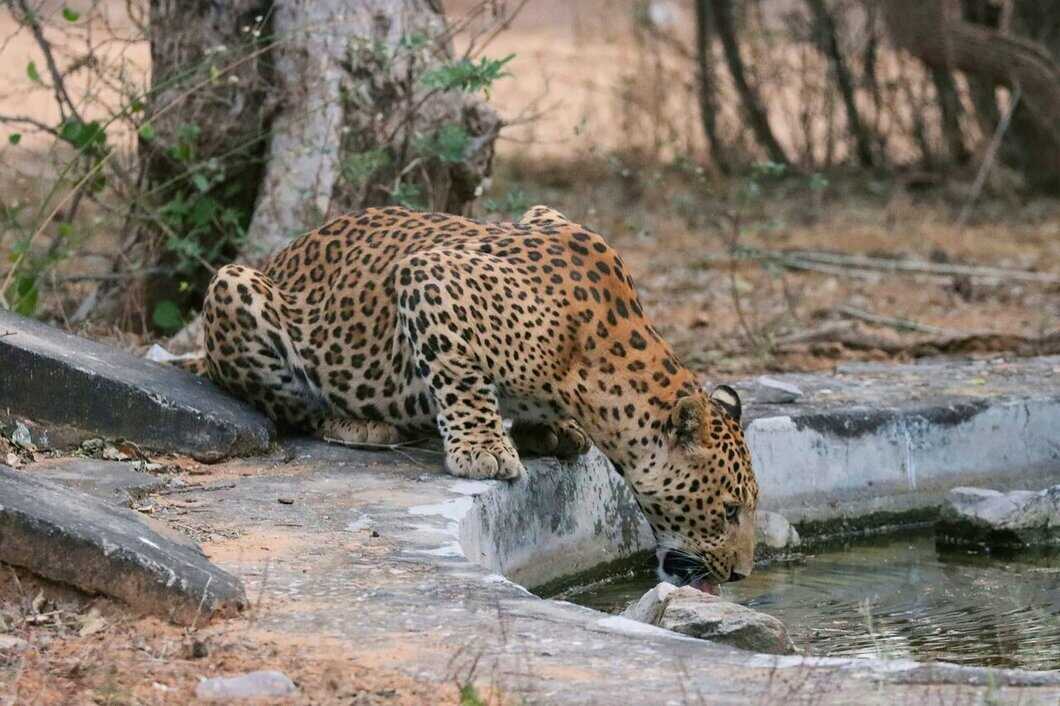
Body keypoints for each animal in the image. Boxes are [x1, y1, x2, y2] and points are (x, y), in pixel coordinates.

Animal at [195, 204, 758, 593]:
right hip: (234, 285)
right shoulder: (430, 276)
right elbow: (460, 376)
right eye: (729, 510)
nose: (741, 574)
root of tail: (278, 255)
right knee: (286, 403)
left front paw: (549, 431)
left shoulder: (541, 213)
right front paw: (484, 449)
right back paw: (358, 424)